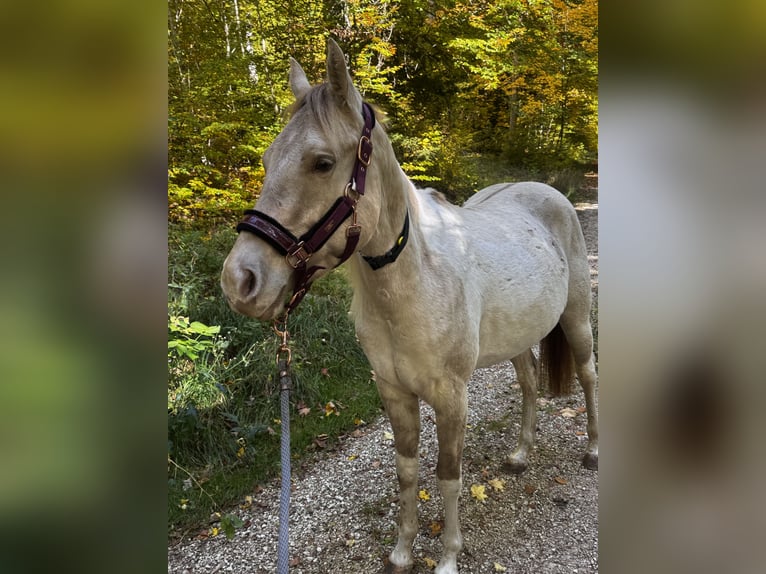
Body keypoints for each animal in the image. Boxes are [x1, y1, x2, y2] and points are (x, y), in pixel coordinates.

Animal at [221, 39, 598, 574]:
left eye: (321, 162)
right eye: (269, 158)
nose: (240, 280)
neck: (414, 282)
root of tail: (548, 192)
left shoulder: (452, 397)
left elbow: (447, 476)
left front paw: (448, 557)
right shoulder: (394, 392)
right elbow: (406, 471)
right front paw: (402, 550)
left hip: (577, 321)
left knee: (587, 376)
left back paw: (593, 451)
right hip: (518, 336)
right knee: (528, 382)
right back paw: (521, 455)